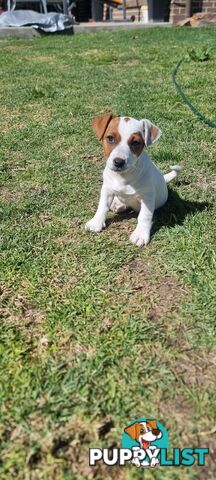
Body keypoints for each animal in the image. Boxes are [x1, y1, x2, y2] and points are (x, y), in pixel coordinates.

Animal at [84, 114, 181, 246]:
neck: (123, 176)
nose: (119, 162)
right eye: (110, 138)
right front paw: (96, 222)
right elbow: (102, 206)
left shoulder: (147, 197)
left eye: (135, 142)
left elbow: (144, 216)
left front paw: (140, 234)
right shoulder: (107, 189)